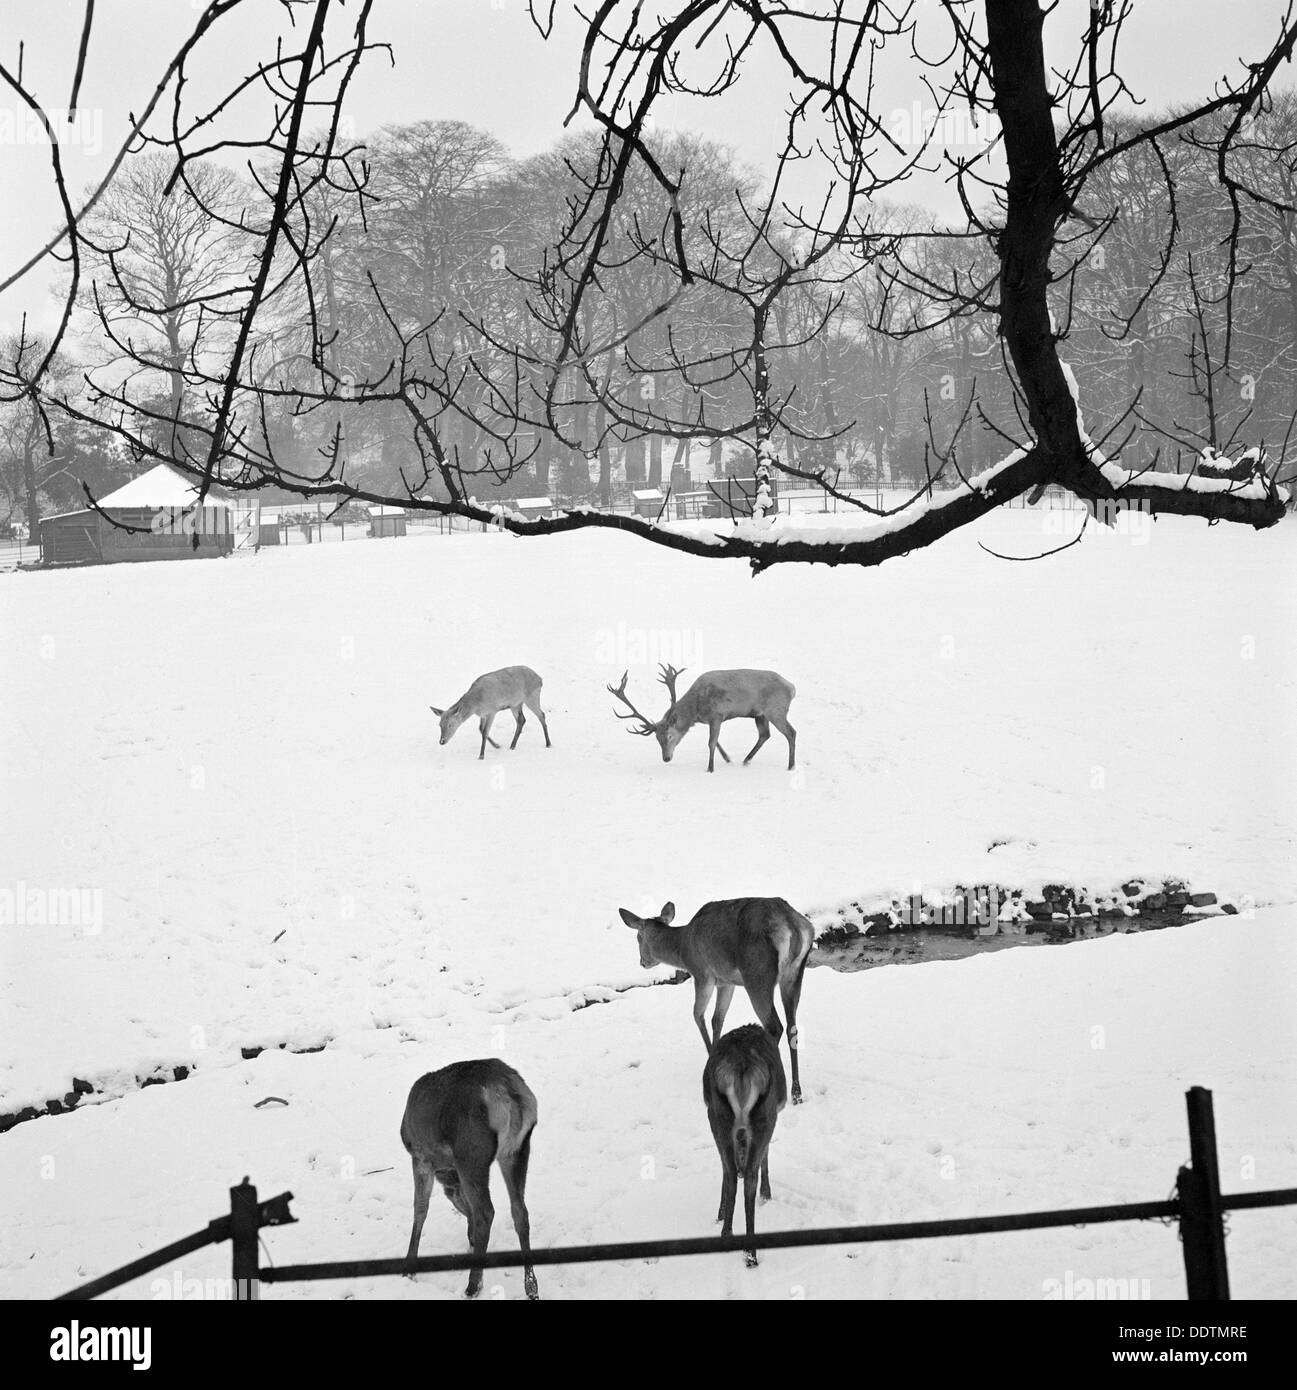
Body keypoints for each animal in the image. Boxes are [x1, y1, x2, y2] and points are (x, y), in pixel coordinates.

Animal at [394, 1061, 536, 1301]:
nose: (470, 1238)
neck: (444, 1165)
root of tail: (507, 1091)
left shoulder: (420, 1156)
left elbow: (420, 1208)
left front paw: (409, 1267)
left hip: (471, 1152)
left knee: (485, 1212)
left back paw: (473, 1285)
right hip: (516, 1149)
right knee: (519, 1210)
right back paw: (531, 1286)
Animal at [608, 661, 800, 772]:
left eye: (669, 736)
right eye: (656, 738)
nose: (666, 758)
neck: (697, 709)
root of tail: (792, 688)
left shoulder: (717, 714)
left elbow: (711, 742)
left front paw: (710, 768)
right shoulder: (711, 720)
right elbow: (717, 742)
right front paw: (727, 758)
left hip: (776, 710)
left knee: (791, 732)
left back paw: (791, 766)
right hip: (759, 714)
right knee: (764, 734)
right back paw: (746, 760)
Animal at [617, 900, 811, 1106]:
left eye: (638, 937)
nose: (642, 962)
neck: (683, 950)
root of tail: (793, 926)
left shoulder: (702, 974)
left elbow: (697, 1014)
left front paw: (710, 1061)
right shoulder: (726, 982)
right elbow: (717, 1019)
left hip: (756, 975)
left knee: (775, 1027)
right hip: (793, 974)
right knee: (792, 1027)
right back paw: (796, 1093)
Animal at [703, 1017, 784, 1267]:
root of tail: (742, 1067)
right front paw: (766, 1193)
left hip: (718, 1115)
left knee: (730, 1170)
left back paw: (728, 1235)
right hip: (765, 1115)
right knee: (748, 1175)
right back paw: (750, 1251)